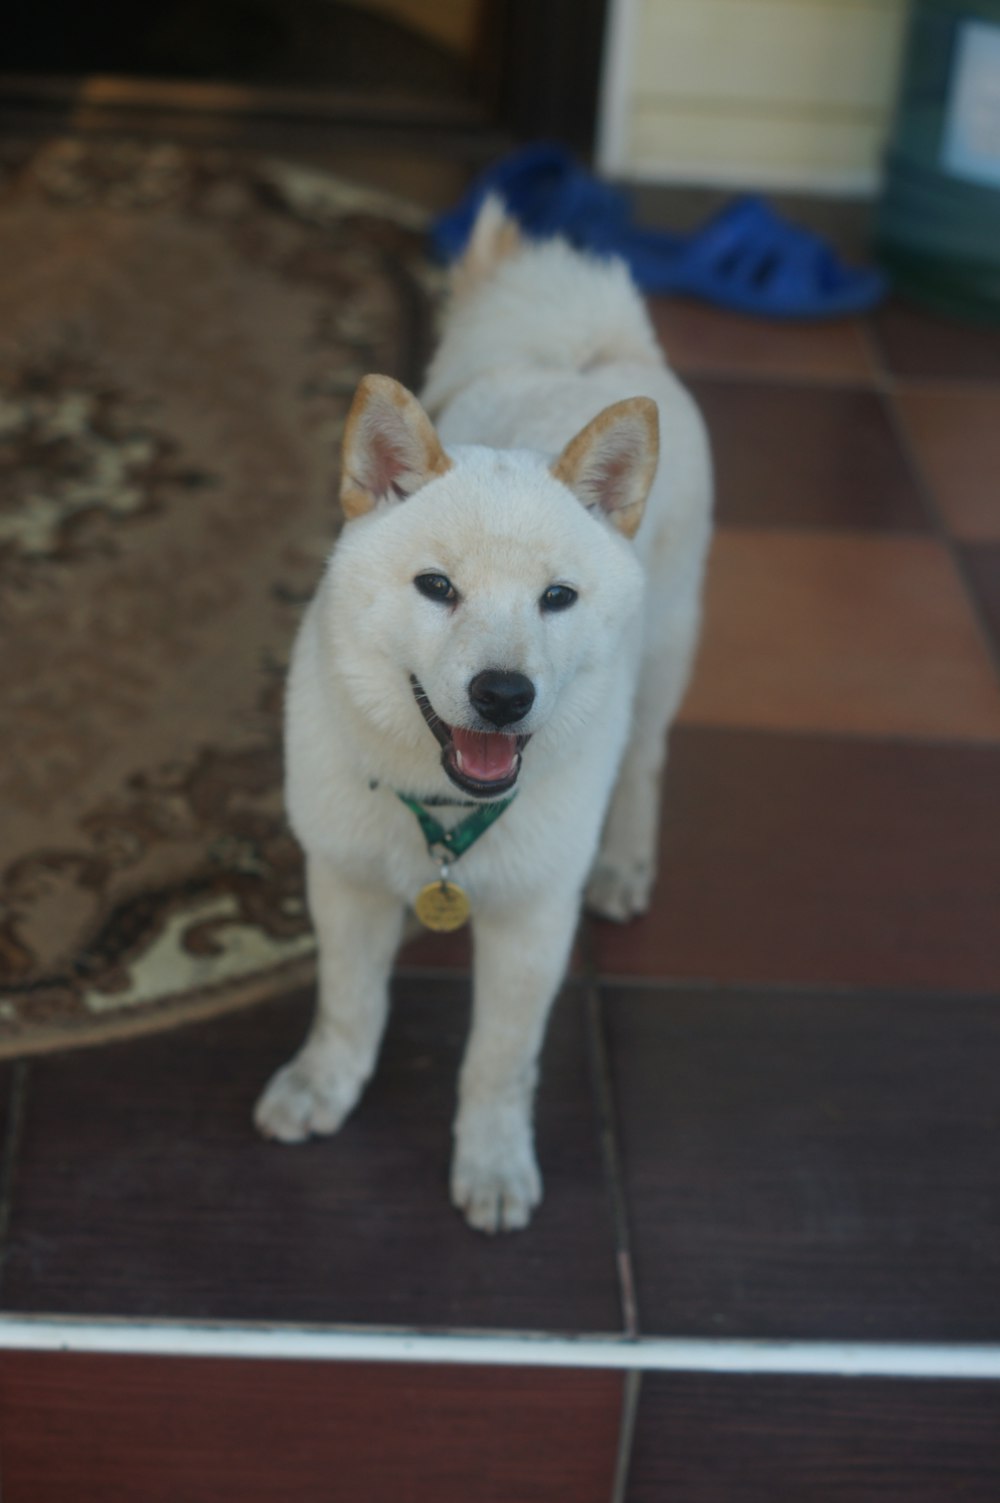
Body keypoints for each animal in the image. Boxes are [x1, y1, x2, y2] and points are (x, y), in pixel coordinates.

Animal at [255, 199, 709, 1232]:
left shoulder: (533, 921)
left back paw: (626, 860)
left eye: (557, 598)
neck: (444, 818)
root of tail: (578, 346)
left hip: (666, 654)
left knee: (647, 762)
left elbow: (500, 1064)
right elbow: (348, 1005)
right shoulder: (343, 878)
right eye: (437, 587)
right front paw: (325, 1084)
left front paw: (494, 1162)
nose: (505, 695)